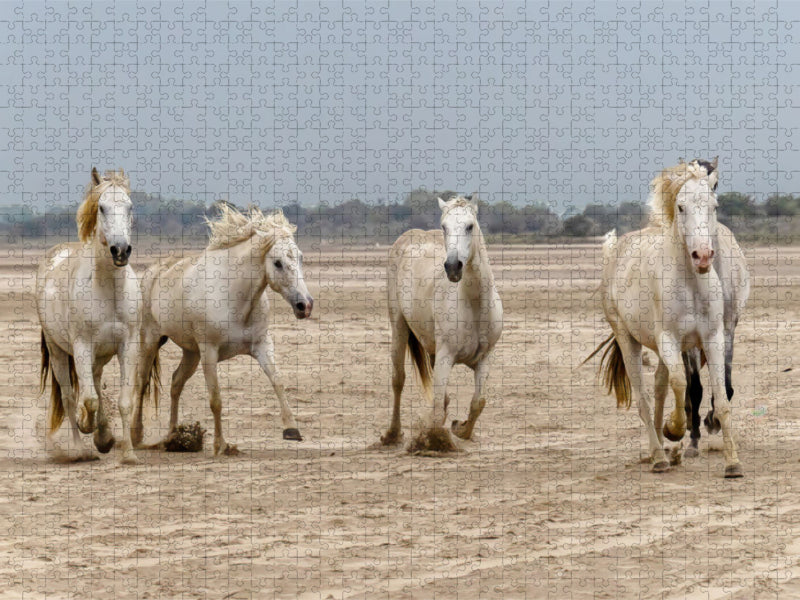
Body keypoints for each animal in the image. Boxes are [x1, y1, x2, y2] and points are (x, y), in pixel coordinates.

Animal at [37, 169, 141, 464]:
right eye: (102, 208)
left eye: (129, 207)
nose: (121, 250)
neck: (109, 290)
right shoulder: (82, 346)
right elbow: (88, 400)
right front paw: (87, 427)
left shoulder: (128, 345)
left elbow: (124, 401)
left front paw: (126, 453)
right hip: (59, 352)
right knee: (71, 396)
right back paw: (80, 448)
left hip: (99, 356)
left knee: (92, 383)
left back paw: (103, 436)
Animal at [131, 205, 312, 454]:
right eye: (277, 263)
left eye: (301, 257)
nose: (305, 305)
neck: (234, 296)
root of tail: (153, 272)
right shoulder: (209, 351)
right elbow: (215, 399)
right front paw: (220, 445)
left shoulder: (262, 345)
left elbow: (277, 380)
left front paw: (291, 429)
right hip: (151, 340)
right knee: (141, 382)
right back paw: (136, 436)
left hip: (191, 353)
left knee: (176, 383)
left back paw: (173, 436)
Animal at [380, 195, 500, 452]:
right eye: (444, 227)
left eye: (470, 226)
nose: (453, 267)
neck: (474, 305)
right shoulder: (446, 356)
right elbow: (436, 405)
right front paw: (433, 442)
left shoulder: (484, 358)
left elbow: (478, 402)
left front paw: (459, 428)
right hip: (399, 328)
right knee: (398, 380)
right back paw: (392, 435)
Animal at [592, 159, 748, 478]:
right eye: (681, 207)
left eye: (714, 205)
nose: (703, 256)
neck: (691, 283)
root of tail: (616, 249)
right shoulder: (671, 340)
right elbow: (682, 384)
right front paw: (675, 430)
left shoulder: (714, 337)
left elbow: (722, 397)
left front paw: (732, 463)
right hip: (629, 340)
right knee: (644, 396)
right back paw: (659, 456)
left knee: (659, 386)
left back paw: (666, 449)